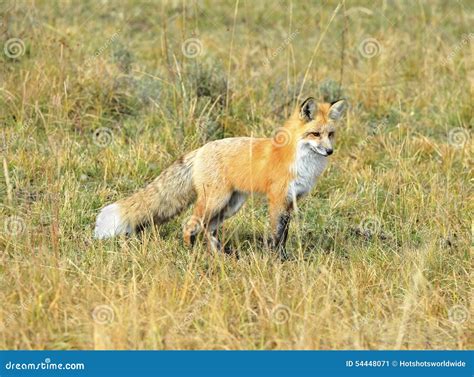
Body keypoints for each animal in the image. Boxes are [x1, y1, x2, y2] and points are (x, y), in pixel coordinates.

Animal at [95, 98, 348, 258]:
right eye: (315, 134)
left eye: (330, 134)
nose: (329, 151)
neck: (298, 159)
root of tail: (200, 149)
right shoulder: (277, 199)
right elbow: (276, 235)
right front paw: (277, 259)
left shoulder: (291, 201)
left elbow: (283, 234)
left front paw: (283, 257)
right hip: (215, 201)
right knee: (191, 224)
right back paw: (190, 251)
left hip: (230, 205)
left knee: (209, 228)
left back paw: (219, 255)